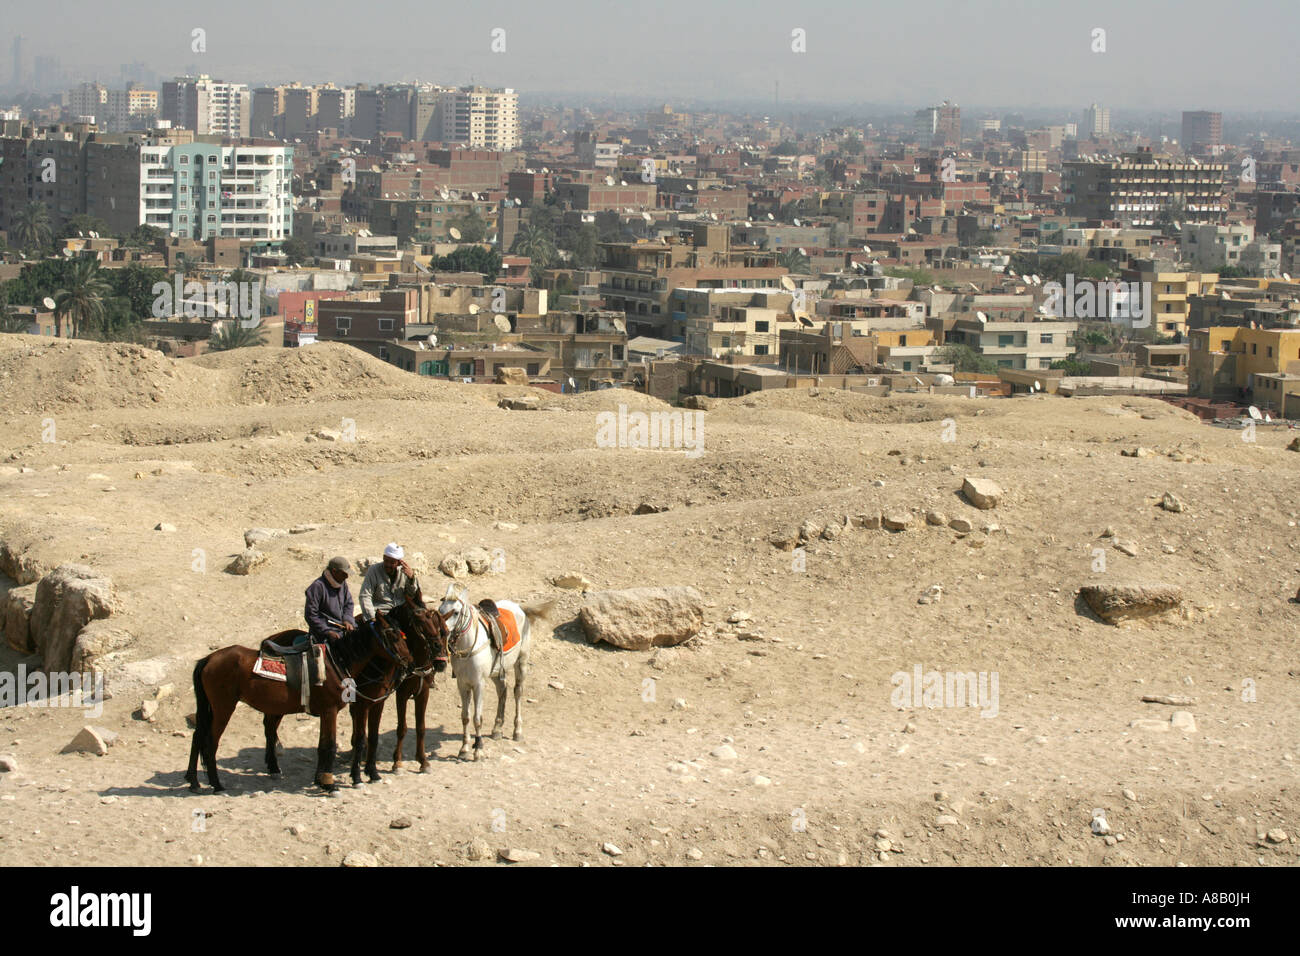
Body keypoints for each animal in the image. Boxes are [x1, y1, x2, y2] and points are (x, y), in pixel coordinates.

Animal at [185, 621, 408, 790]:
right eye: (394, 637)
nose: (408, 660)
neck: (338, 661)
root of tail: (209, 659)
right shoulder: (331, 710)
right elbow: (330, 745)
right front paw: (330, 784)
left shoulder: (328, 711)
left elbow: (323, 745)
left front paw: (321, 780)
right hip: (223, 707)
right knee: (211, 741)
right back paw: (216, 784)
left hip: (216, 708)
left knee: (199, 736)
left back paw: (194, 781)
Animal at [345, 606, 452, 785]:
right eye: (420, 626)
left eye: (445, 632)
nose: (441, 662)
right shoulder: (401, 694)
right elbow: (402, 728)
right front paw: (397, 763)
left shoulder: (423, 693)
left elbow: (421, 727)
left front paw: (423, 761)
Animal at [441, 582, 553, 764]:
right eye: (440, 609)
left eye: (456, 612)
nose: (442, 632)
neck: (470, 645)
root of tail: (518, 607)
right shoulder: (462, 684)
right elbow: (465, 716)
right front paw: (464, 749)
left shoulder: (479, 684)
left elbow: (477, 718)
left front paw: (478, 750)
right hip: (496, 672)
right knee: (503, 691)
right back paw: (497, 729)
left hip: (521, 662)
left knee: (517, 692)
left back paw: (517, 731)